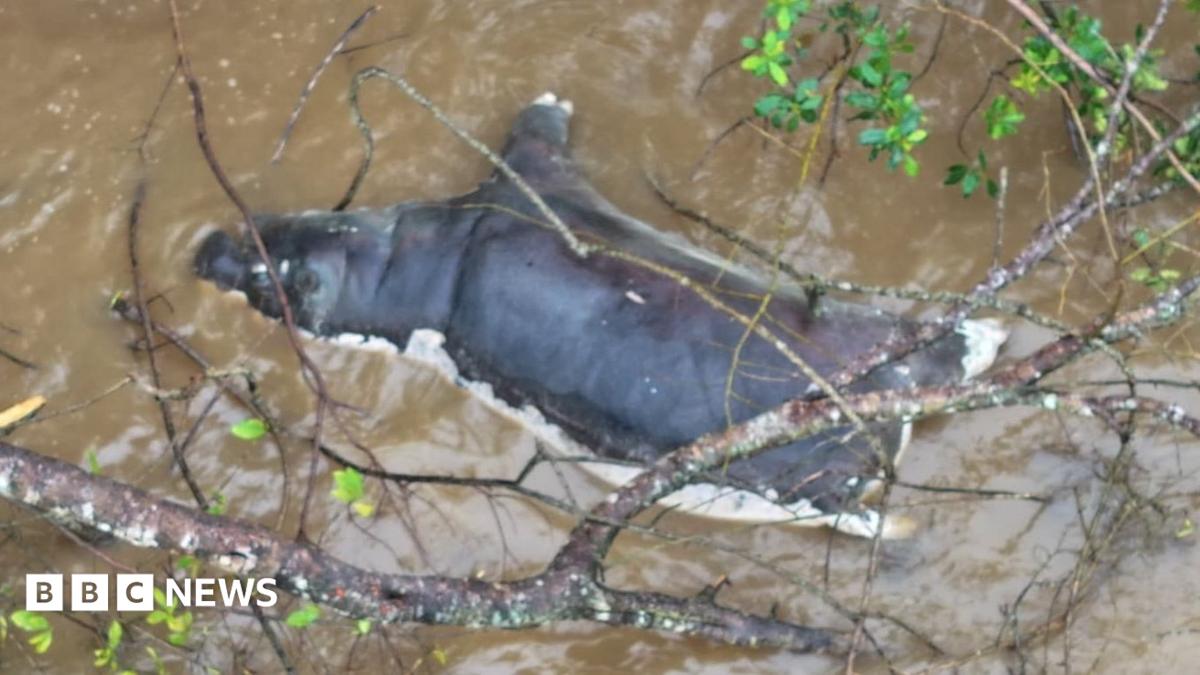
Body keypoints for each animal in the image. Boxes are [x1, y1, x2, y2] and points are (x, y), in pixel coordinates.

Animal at [195, 93, 1006, 537]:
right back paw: (981, 335)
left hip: (808, 471)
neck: (430, 250)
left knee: (858, 509)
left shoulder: (521, 190)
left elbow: (533, 139)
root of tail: (897, 390)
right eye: (259, 222)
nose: (205, 244)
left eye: (268, 274)